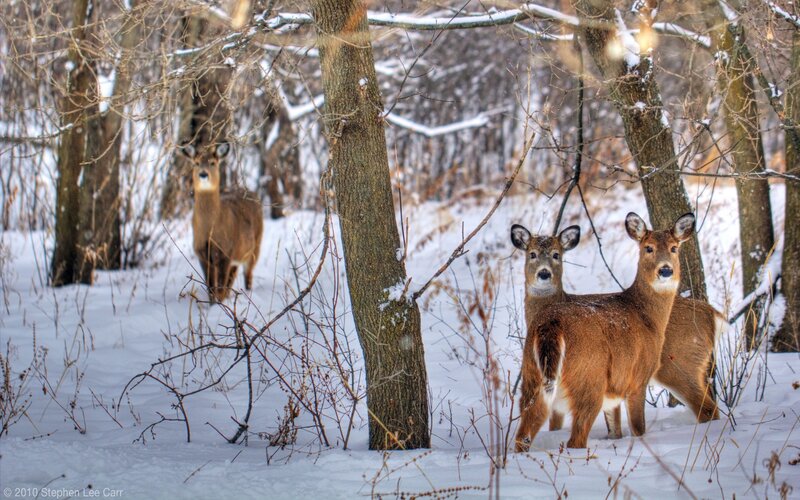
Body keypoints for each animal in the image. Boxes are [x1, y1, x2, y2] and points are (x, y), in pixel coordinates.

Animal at [181, 142, 264, 303]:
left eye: (213, 163)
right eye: (196, 163)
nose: (203, 174)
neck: (210, 229)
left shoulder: (225, 251)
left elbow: (219, 288)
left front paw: (219, 305)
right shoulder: (202, 252)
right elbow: (211, 287)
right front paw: (213, 304)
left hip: (255, 245)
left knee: (248, 273)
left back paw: (248, 292)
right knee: (232, 278)